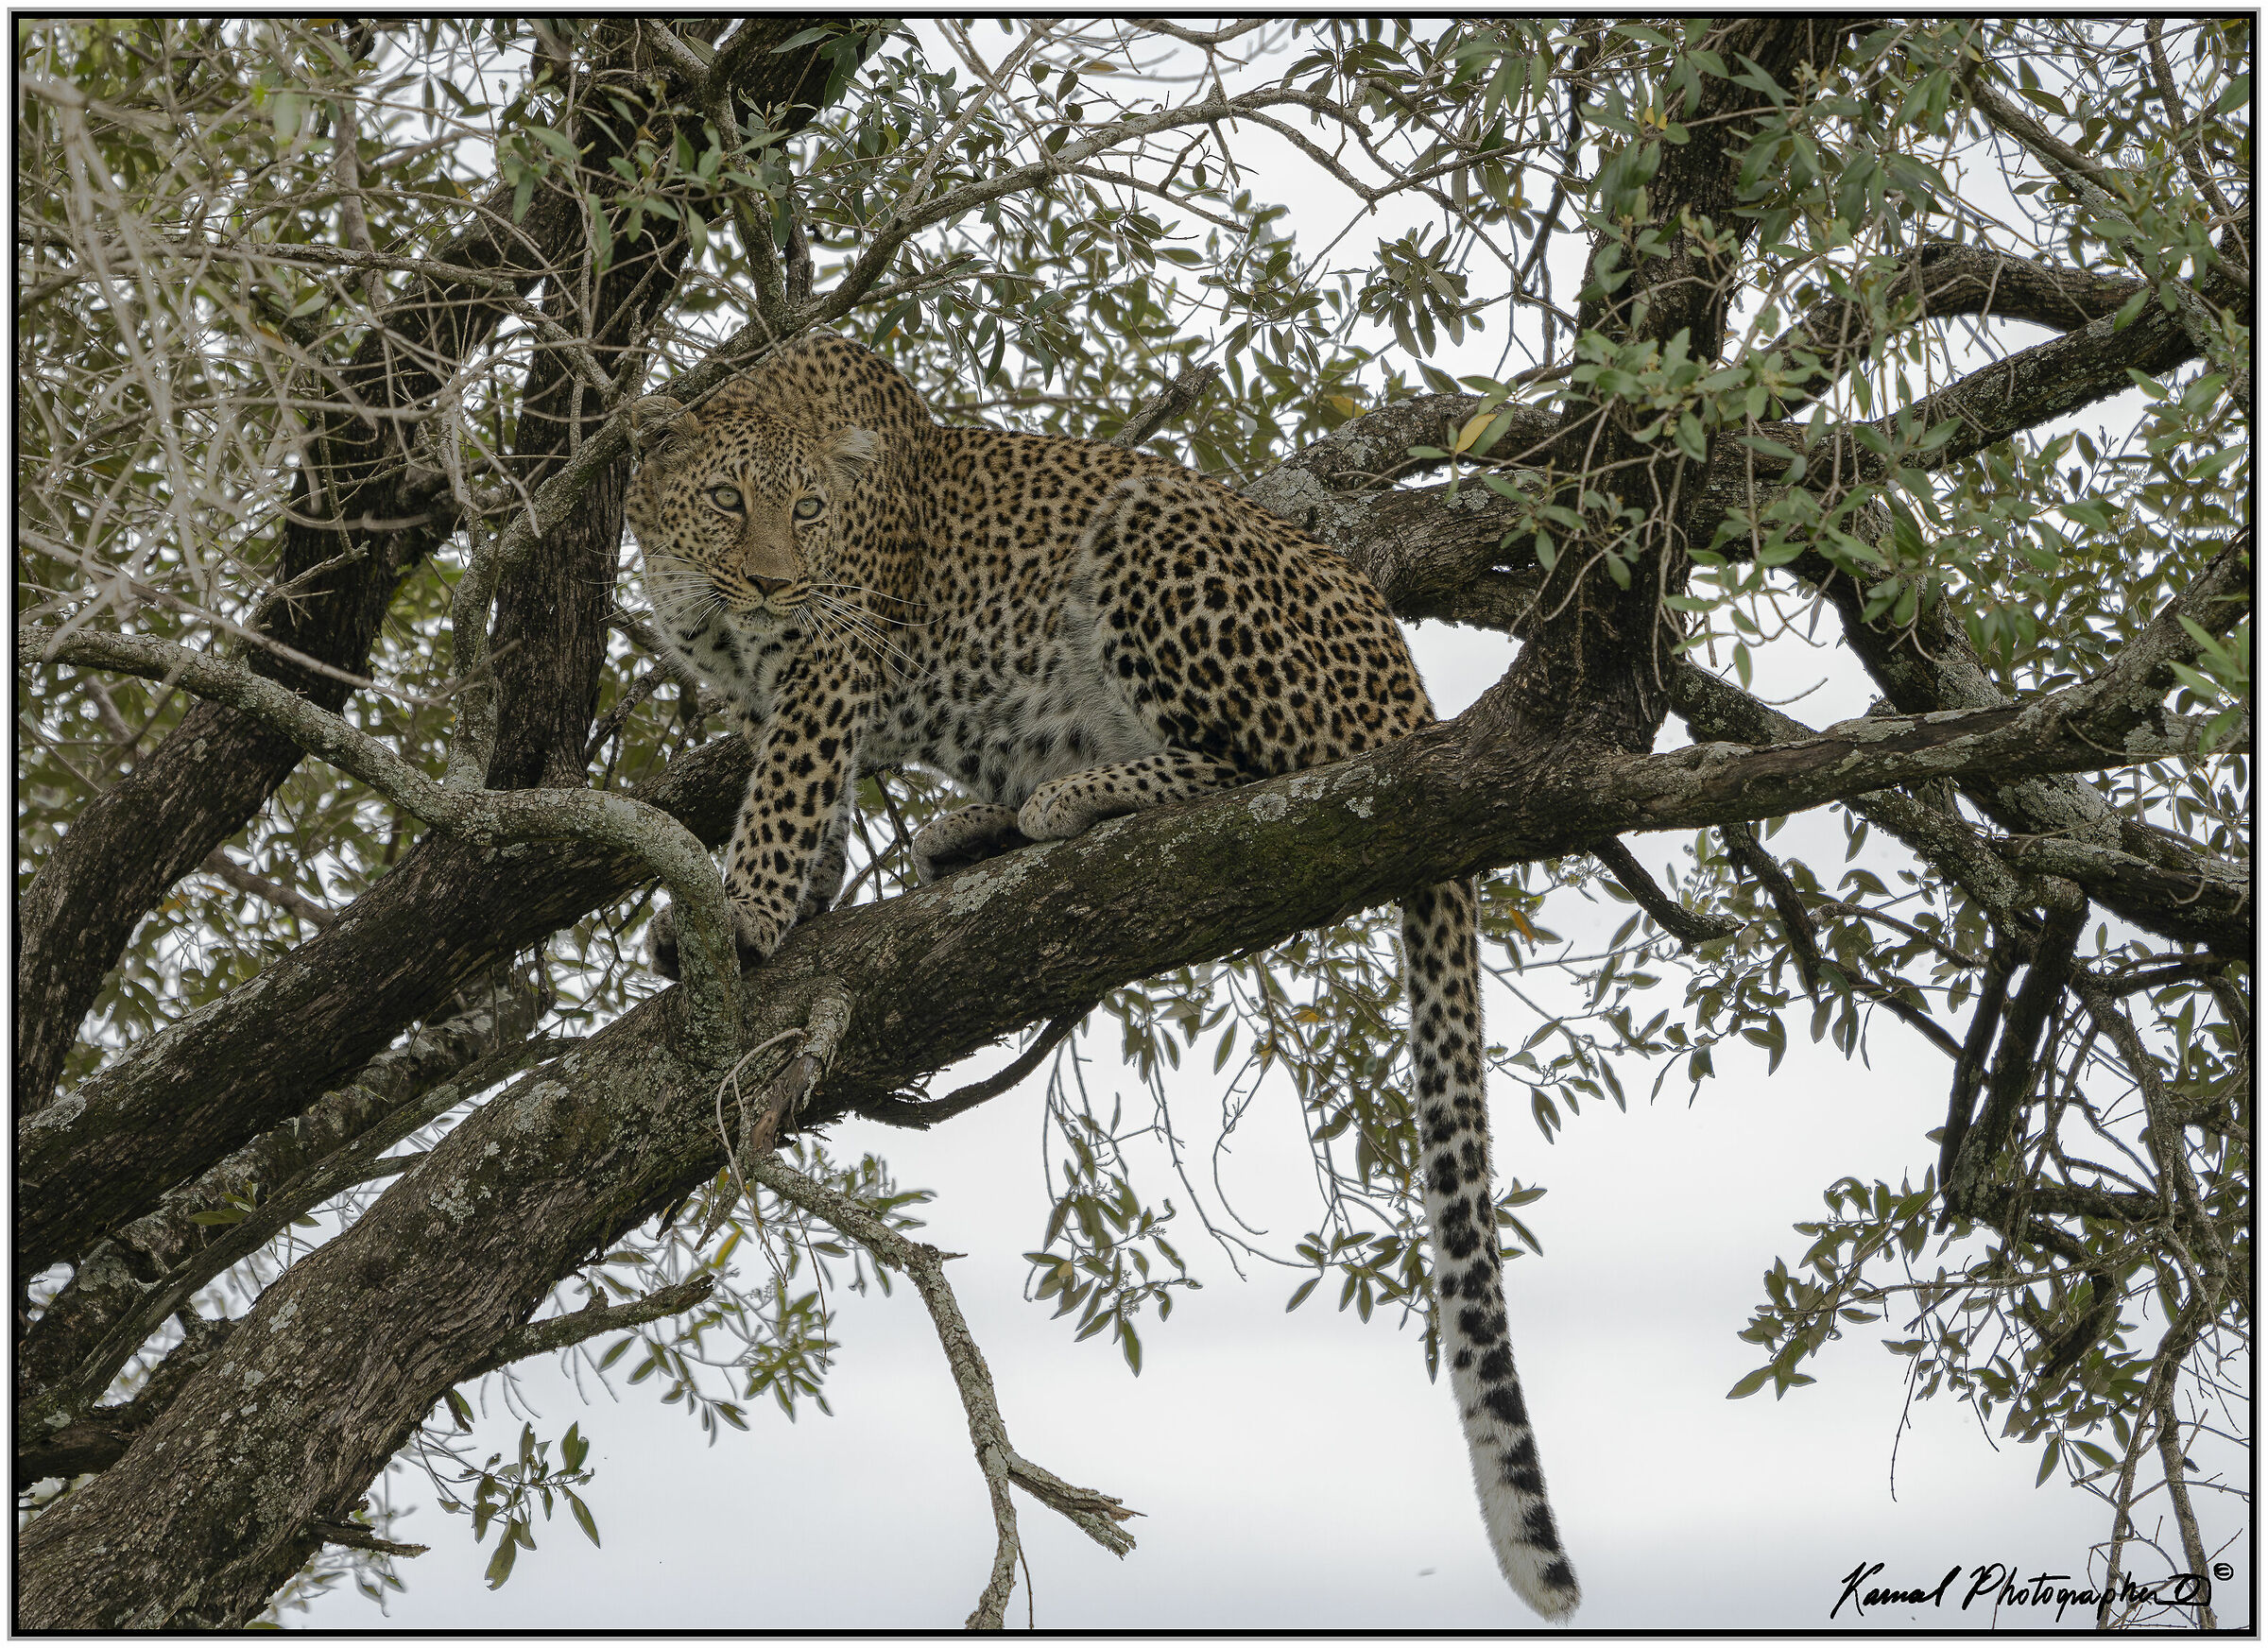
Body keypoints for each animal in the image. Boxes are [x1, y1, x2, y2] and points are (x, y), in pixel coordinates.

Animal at [621, 330, 1582, 1621]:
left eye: (808, 511)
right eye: (728, 500)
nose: (772, 582)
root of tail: (1413, 692)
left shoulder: (831, 654)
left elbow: (790, 785)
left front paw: (753, 912)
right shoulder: (786, 679)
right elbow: (809, 791)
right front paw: (785, 900)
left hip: (1158, 542)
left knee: (1265, 775)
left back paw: (1061, 800)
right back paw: (977, 829)